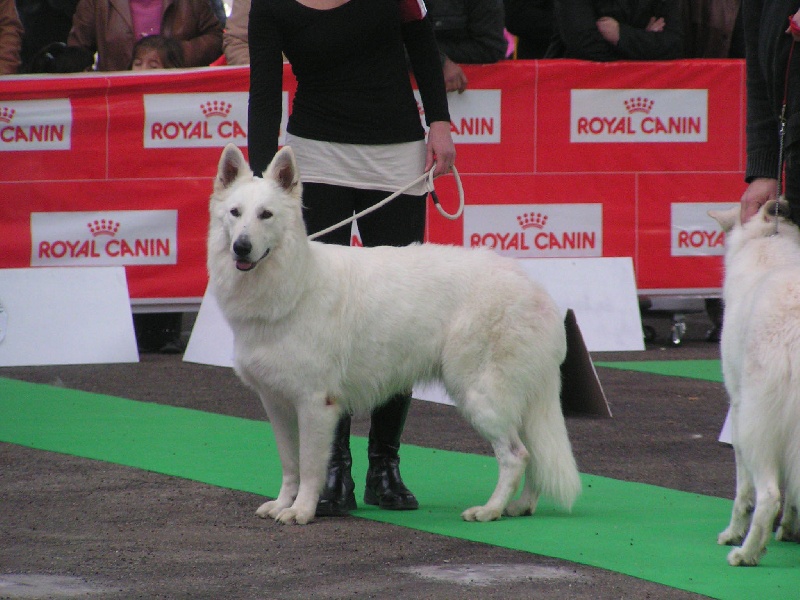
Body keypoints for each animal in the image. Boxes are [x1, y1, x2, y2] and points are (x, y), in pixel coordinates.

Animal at [206, 145, 580, 524]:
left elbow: (310, 467)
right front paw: (283, 503)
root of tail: (535, 289)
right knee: (535, 455)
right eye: (235, 213)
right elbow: (290, 464)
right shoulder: (277, 404)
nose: (241, 247)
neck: (294, 282)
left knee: (517, 455)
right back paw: (521, 506)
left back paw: (490, 510)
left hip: (480, 395)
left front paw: (301, 511)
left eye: (265, 215)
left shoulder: (315, 404)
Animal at [708, 200, 800, 564]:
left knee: (769, 494)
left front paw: (733, 532)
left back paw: (746, 552)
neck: (766, 241)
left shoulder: (738, 407)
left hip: (755, 423)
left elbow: (743, 490)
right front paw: (789, 529)